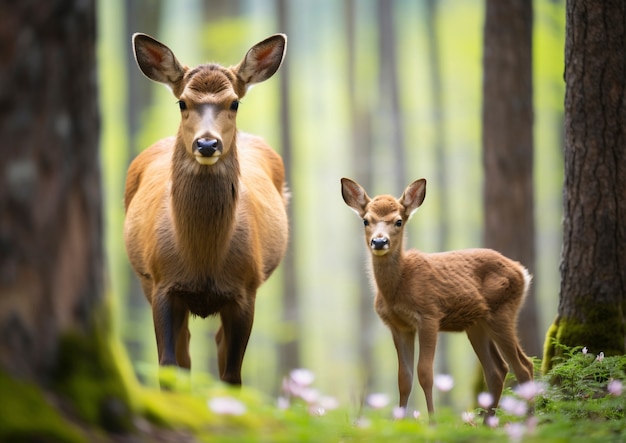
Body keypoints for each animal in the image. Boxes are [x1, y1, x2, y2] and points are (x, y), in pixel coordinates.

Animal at [125, 33, 290, 386]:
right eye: (182, 103)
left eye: (234, 103)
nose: (207, 144)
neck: (203, 258)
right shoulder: (162, 284)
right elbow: (169, 367)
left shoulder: (245, 289)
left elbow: (232, 376)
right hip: (145, 281)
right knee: (186, 351)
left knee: (216, 344)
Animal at [338, 178, 532, 420]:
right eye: (366, 220)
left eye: (398, 221)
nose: (380, 242)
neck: (398, 287)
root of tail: (522, 272)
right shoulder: (399, 326)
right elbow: (404, 378)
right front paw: (400, 420)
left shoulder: (429, 316)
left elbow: (425, 373)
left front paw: (432, 421)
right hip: (477, 324)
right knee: (497, 370)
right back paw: (489, 422)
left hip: (503, 311)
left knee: (524, 366)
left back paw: (533, 418)